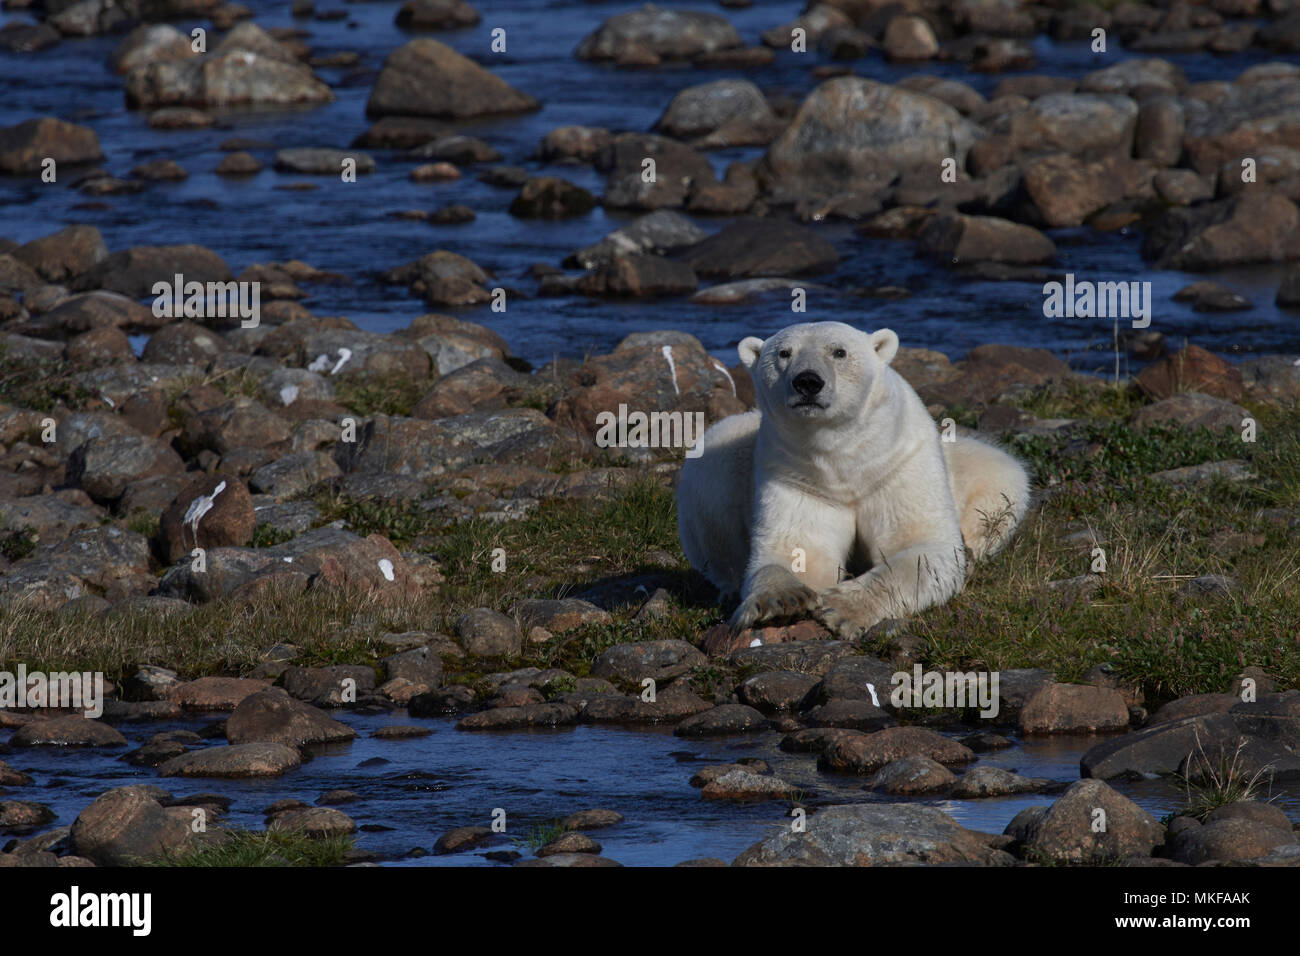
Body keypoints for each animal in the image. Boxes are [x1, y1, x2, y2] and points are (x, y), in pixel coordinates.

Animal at [676, 321, 1030, 639]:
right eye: (783, 353)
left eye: (839, 351)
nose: (807, 382)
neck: (842, 460)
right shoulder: (796, 475)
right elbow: (798, 550)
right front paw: (782, 600)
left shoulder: (898, 465)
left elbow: (920, 547)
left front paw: (842, 608)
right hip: (724, 454)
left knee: (1000, 475)